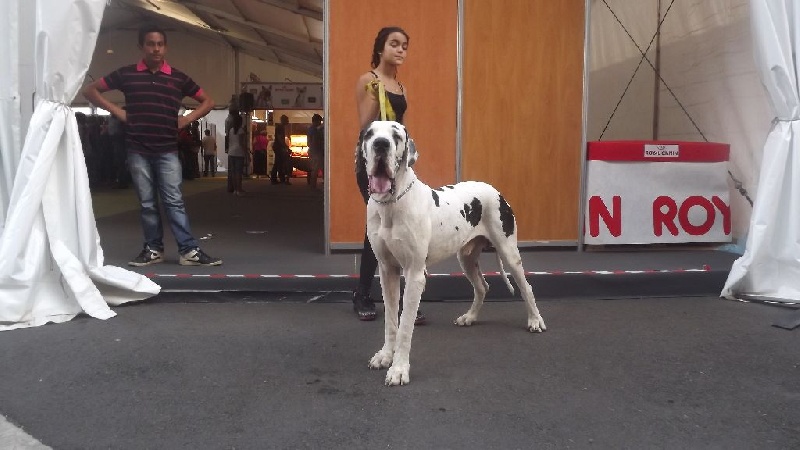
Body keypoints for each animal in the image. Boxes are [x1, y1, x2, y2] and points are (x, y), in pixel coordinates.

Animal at [359, 121, 546, 386]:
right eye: (370, 134)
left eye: (396, 135)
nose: (381, 145)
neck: (391, 204)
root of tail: (495, 190)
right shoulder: (387, 272)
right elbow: (390, 321)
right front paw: (386, 355)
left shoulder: (414, 275)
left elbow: (405, 325)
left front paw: (399, 368)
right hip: (466, 258)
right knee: (482, 287)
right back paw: (470, 317)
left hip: (509, 252)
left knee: (526, 287)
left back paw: (535, 320)